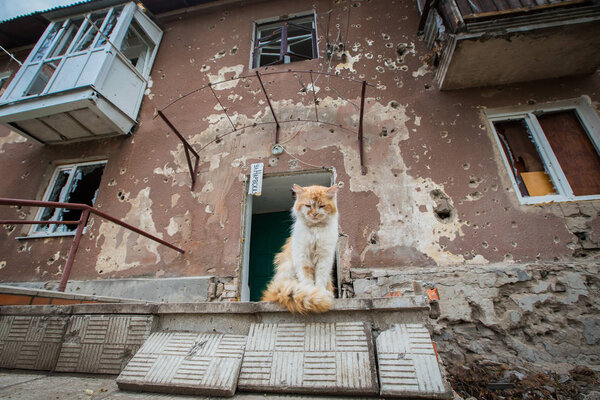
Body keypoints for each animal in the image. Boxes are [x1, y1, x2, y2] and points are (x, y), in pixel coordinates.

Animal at [262, 183, 340, 314]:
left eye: (322, 206)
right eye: (308, 205)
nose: (314, 214)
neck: (315, 229)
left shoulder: (324, 258)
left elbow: (320, 279)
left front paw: (321, 292)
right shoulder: (303, 257)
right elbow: (307, 280)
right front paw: (310, 292)